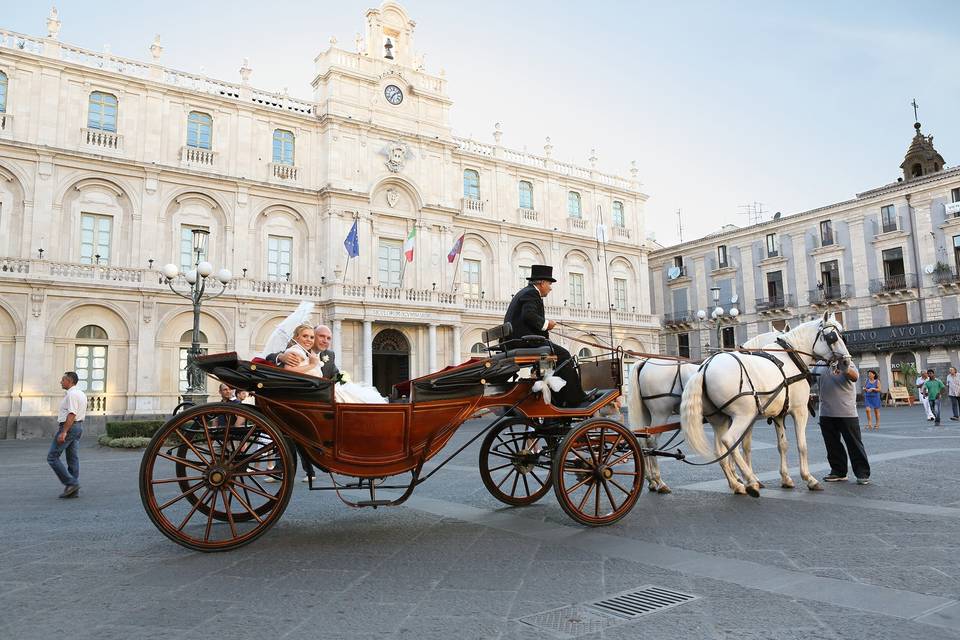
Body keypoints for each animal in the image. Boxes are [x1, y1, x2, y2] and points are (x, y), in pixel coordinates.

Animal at [632, 328, 788, 492]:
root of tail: (644, 362)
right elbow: (737, 445)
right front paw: (743, 478)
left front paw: (736, 476)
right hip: (660, 413)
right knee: (652, 442)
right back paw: (659, 481)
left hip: (647, 413)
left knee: (643, 441)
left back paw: (651, 480)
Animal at [680, 312, 852, 498]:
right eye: (832, 337)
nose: (846, 362)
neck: (790, 359)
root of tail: (704, 368)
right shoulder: (799, 411)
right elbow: (802, 445)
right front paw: (809, 478)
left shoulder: (778, 415)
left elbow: (780, 445)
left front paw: (786, 478)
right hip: (743, 416)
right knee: (729, 441)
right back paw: (750, 482)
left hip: (719, 419)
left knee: (721, 452)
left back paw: (737, 484)